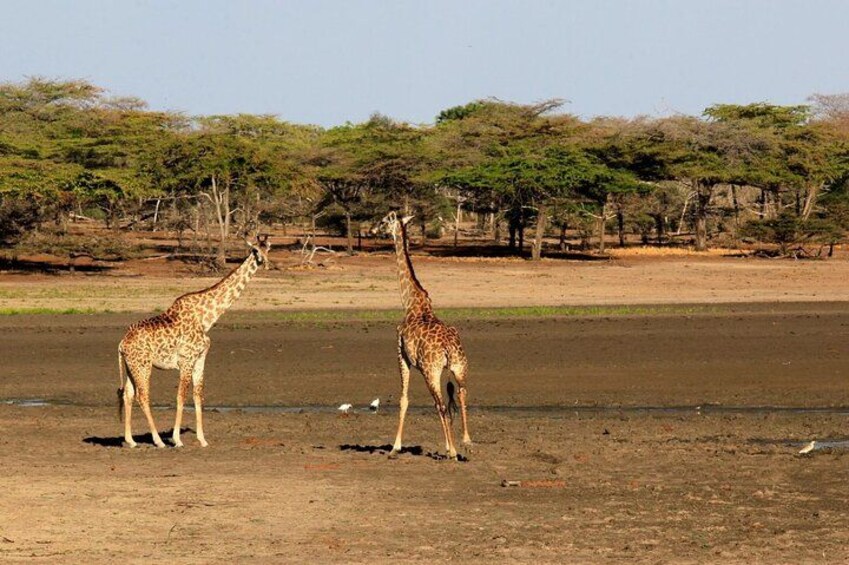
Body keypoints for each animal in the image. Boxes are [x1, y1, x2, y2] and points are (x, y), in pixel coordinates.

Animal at [117, 235, 271, 448]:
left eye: (268, 248)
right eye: (255, 250)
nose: (265, 263)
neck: (206, 318)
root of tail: (122, 344)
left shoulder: (200, 359)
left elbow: (198, 395)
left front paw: (202, 439)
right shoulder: (186, 360)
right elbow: (181, 396)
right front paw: (177, 439)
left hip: (131, 367)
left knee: (128, 395)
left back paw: (131, 441)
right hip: (143, 365)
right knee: (143, 396)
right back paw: (158, 441)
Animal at [374, 212, 472, 460]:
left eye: (383, 221)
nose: (372, 230)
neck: (411, 302)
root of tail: (448, 348)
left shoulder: (401, 354)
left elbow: (404, 399)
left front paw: (395, 447)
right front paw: (447, 444)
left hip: (431, 371)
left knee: (442, 404)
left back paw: (453, 452)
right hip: (459, 367)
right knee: (461, 393)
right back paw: (466, 442)